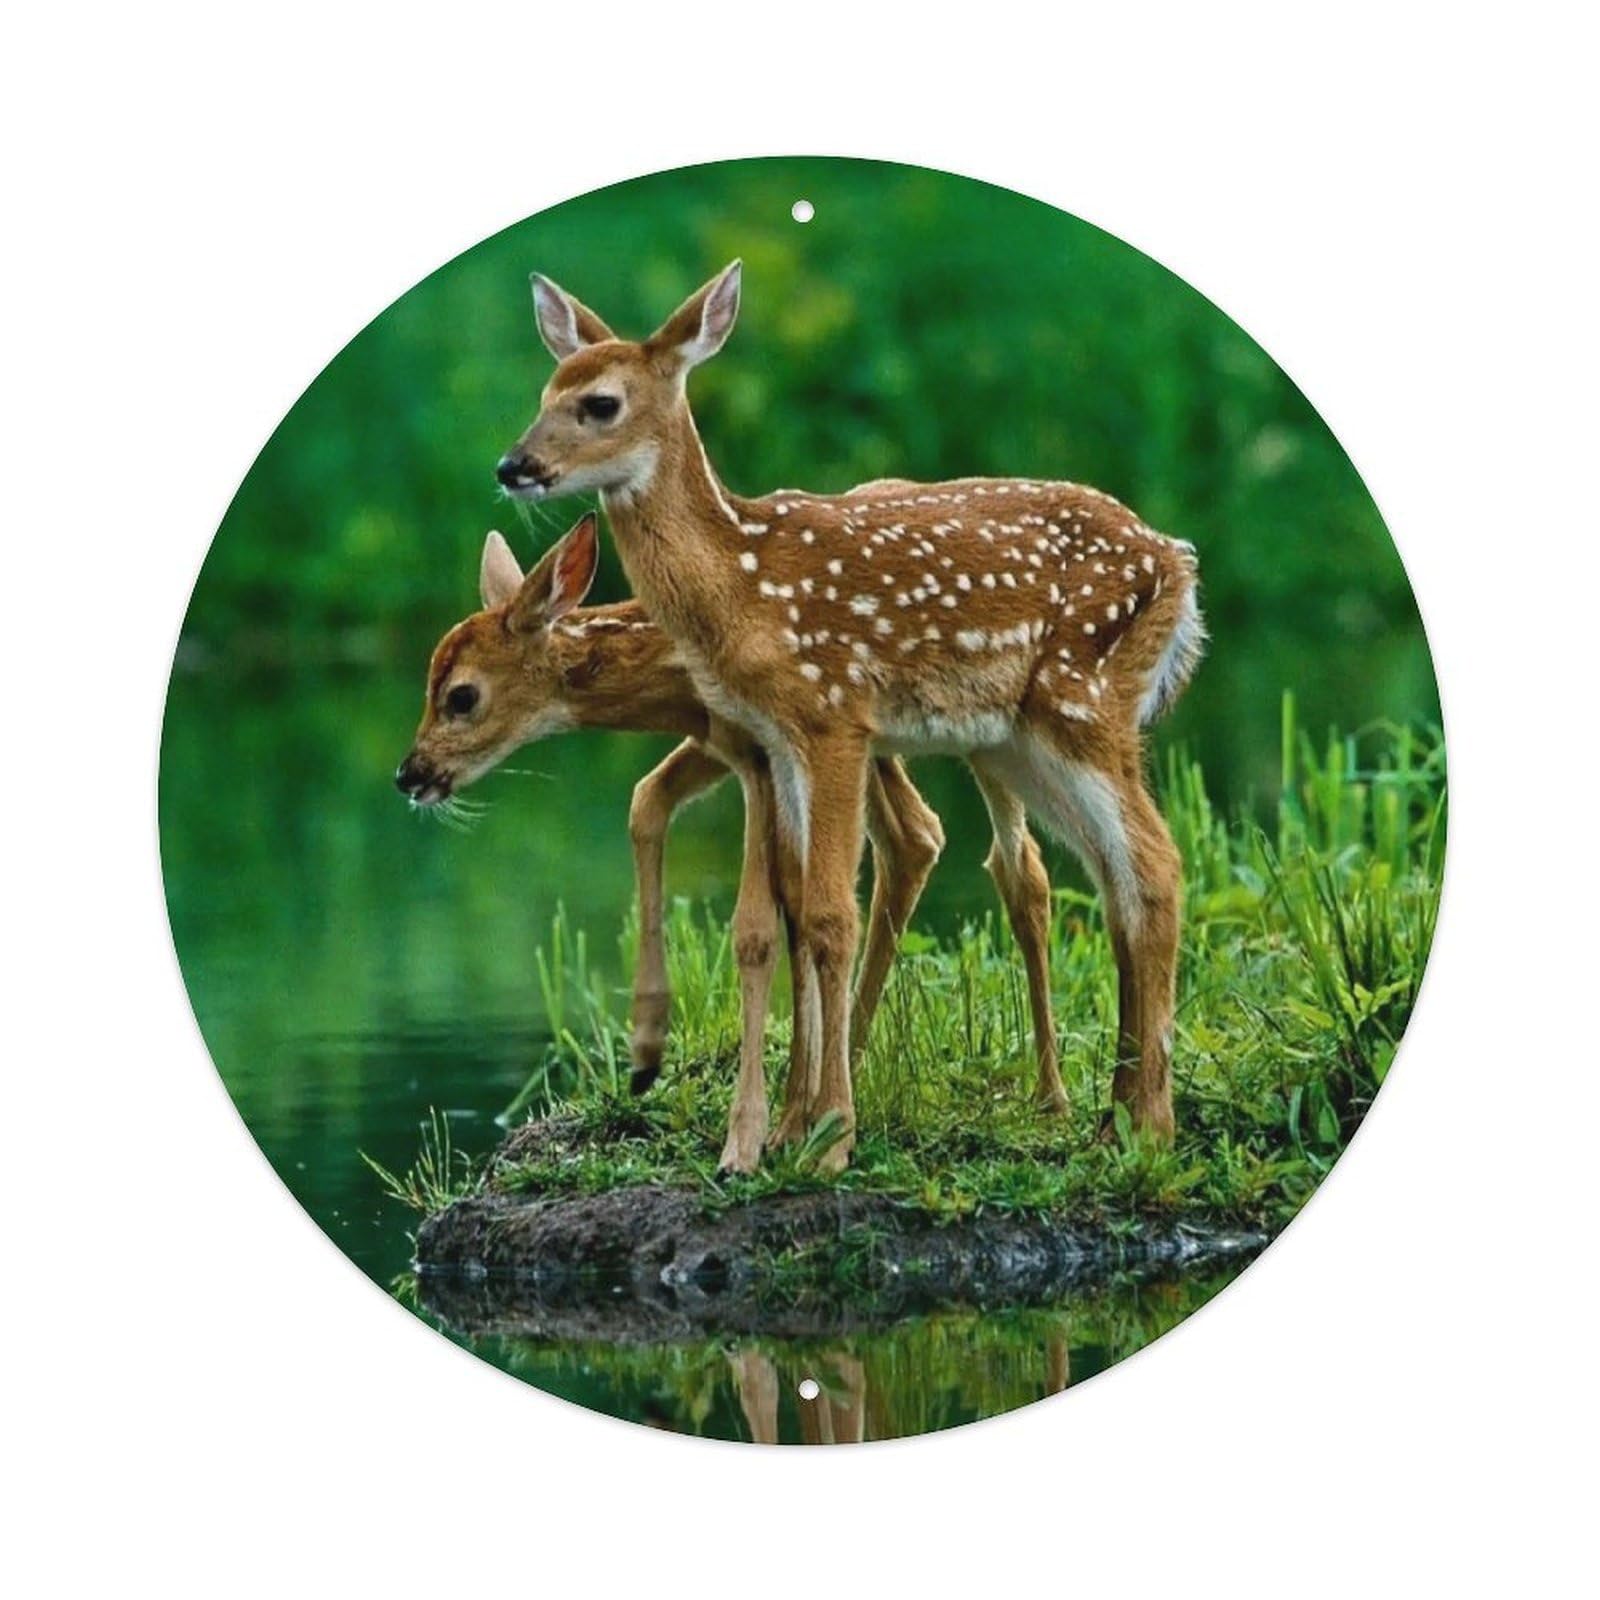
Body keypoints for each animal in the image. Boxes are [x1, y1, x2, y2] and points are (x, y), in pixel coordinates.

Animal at [395, 511, 1070, 1172]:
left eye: (461, 696)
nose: (411, 773)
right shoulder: (734, 742)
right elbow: (655, 807)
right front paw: (665, 1065)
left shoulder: (763, 752)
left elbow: (758, 923)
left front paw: (754, 1135)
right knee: (921, 839)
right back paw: (852, 1074)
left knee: (1013, 866)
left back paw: (1048, 1098)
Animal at [493, 264, 1205, 1174]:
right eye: (544, 392)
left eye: (601, 403)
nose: (514, 466)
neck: (744, 581)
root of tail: (1177, 561)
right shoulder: (780, 739)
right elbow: (800, 909)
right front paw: (794, 1127)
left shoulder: (834, 715)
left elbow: (832, 913)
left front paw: (829, 1137)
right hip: (1019, 740)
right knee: (1114, 875)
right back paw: (1115, 1120)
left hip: (1083, 697)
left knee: (1153, 864)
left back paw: (1149, 1125)